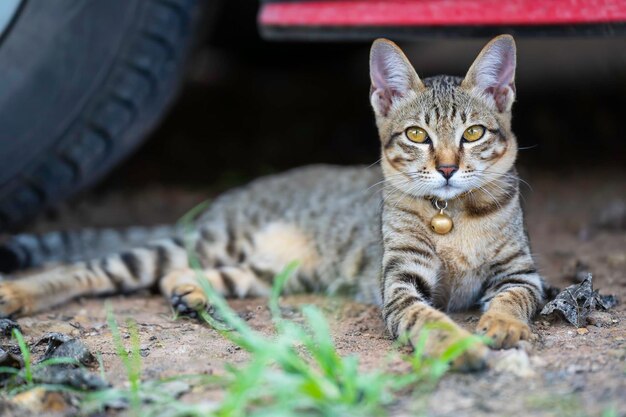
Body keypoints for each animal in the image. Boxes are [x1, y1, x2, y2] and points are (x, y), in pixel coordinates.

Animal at [0, 34, 544, 368]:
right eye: (416, 135)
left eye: (472, 133)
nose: (449, 168)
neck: (453, 217)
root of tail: (235, 196)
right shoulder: (400, 284)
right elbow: (426, 317)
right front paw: (457, 345)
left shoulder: (523, 272)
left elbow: (513, 298)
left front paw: (501, 324)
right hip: (211, 240)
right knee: (95, 268)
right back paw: (19, 292)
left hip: (276, 268)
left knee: (185, 277)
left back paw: (190, 290)